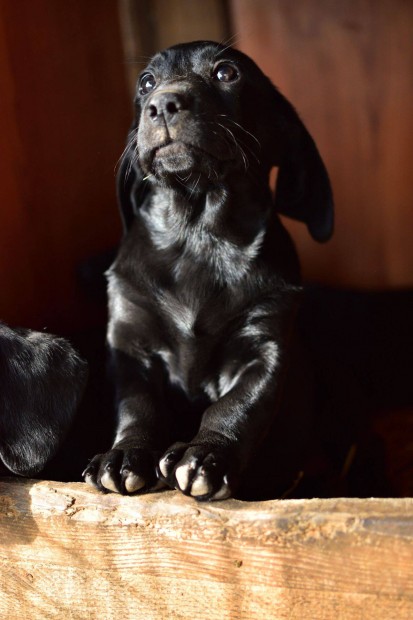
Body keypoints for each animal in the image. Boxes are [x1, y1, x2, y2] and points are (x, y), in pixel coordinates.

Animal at [83, 41, 332, 502]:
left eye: (226, 73)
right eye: (146, 83)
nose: (162, 104)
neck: (196, 235)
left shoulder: (264, 350)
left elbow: (236, 407)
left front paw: (206, 456)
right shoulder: (130, 347)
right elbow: (137, 407)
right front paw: (125, 455)